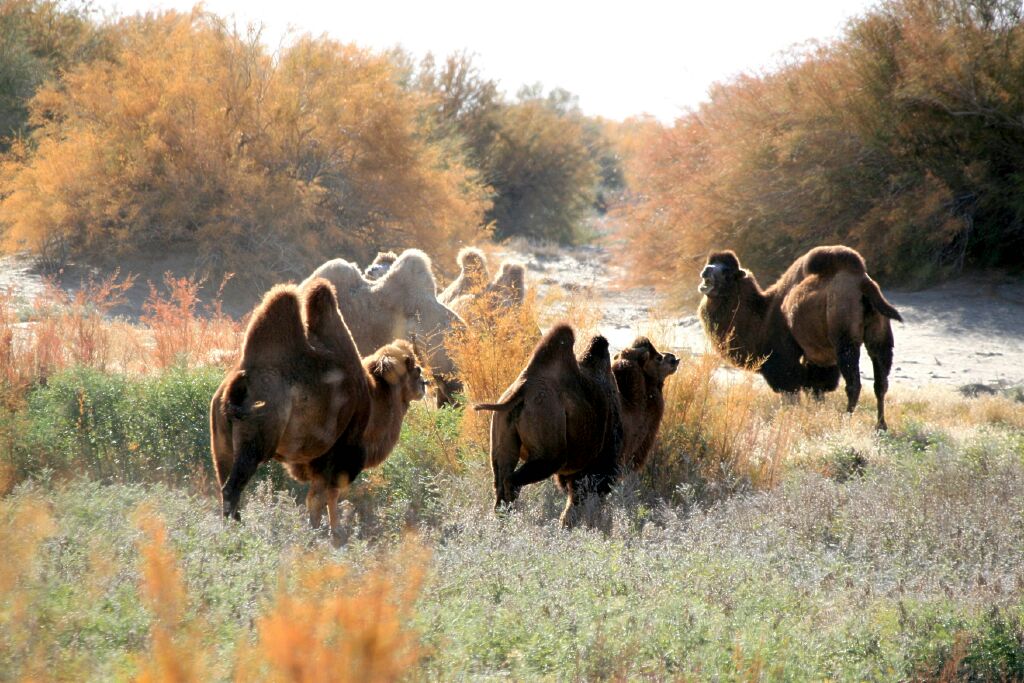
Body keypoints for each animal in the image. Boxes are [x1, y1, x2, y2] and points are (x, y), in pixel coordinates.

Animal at [209, 278, 425, 544]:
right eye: (415, 368)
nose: (424, 384)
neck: (374, 398)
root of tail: (237, 384)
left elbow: (321, 498)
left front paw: (327, 532)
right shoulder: (338, 455)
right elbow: (324, 497)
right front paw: (329, 535)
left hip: (221, 443)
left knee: (223, 483)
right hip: (255, 443)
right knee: (233, 487)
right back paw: (238, 532)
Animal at [696, 244, 905, 428]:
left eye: (727, 272)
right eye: (710, 263)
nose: (706, 271)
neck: (764, 315)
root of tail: (863, 283)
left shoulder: (783, 359)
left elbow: (791, 392)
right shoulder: (818, 359)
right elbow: (816, 389)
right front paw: (815, 416)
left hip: (845, 338)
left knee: (854, 384)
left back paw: (845, 422)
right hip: (880, 338)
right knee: (881, 382)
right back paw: (880, 426)